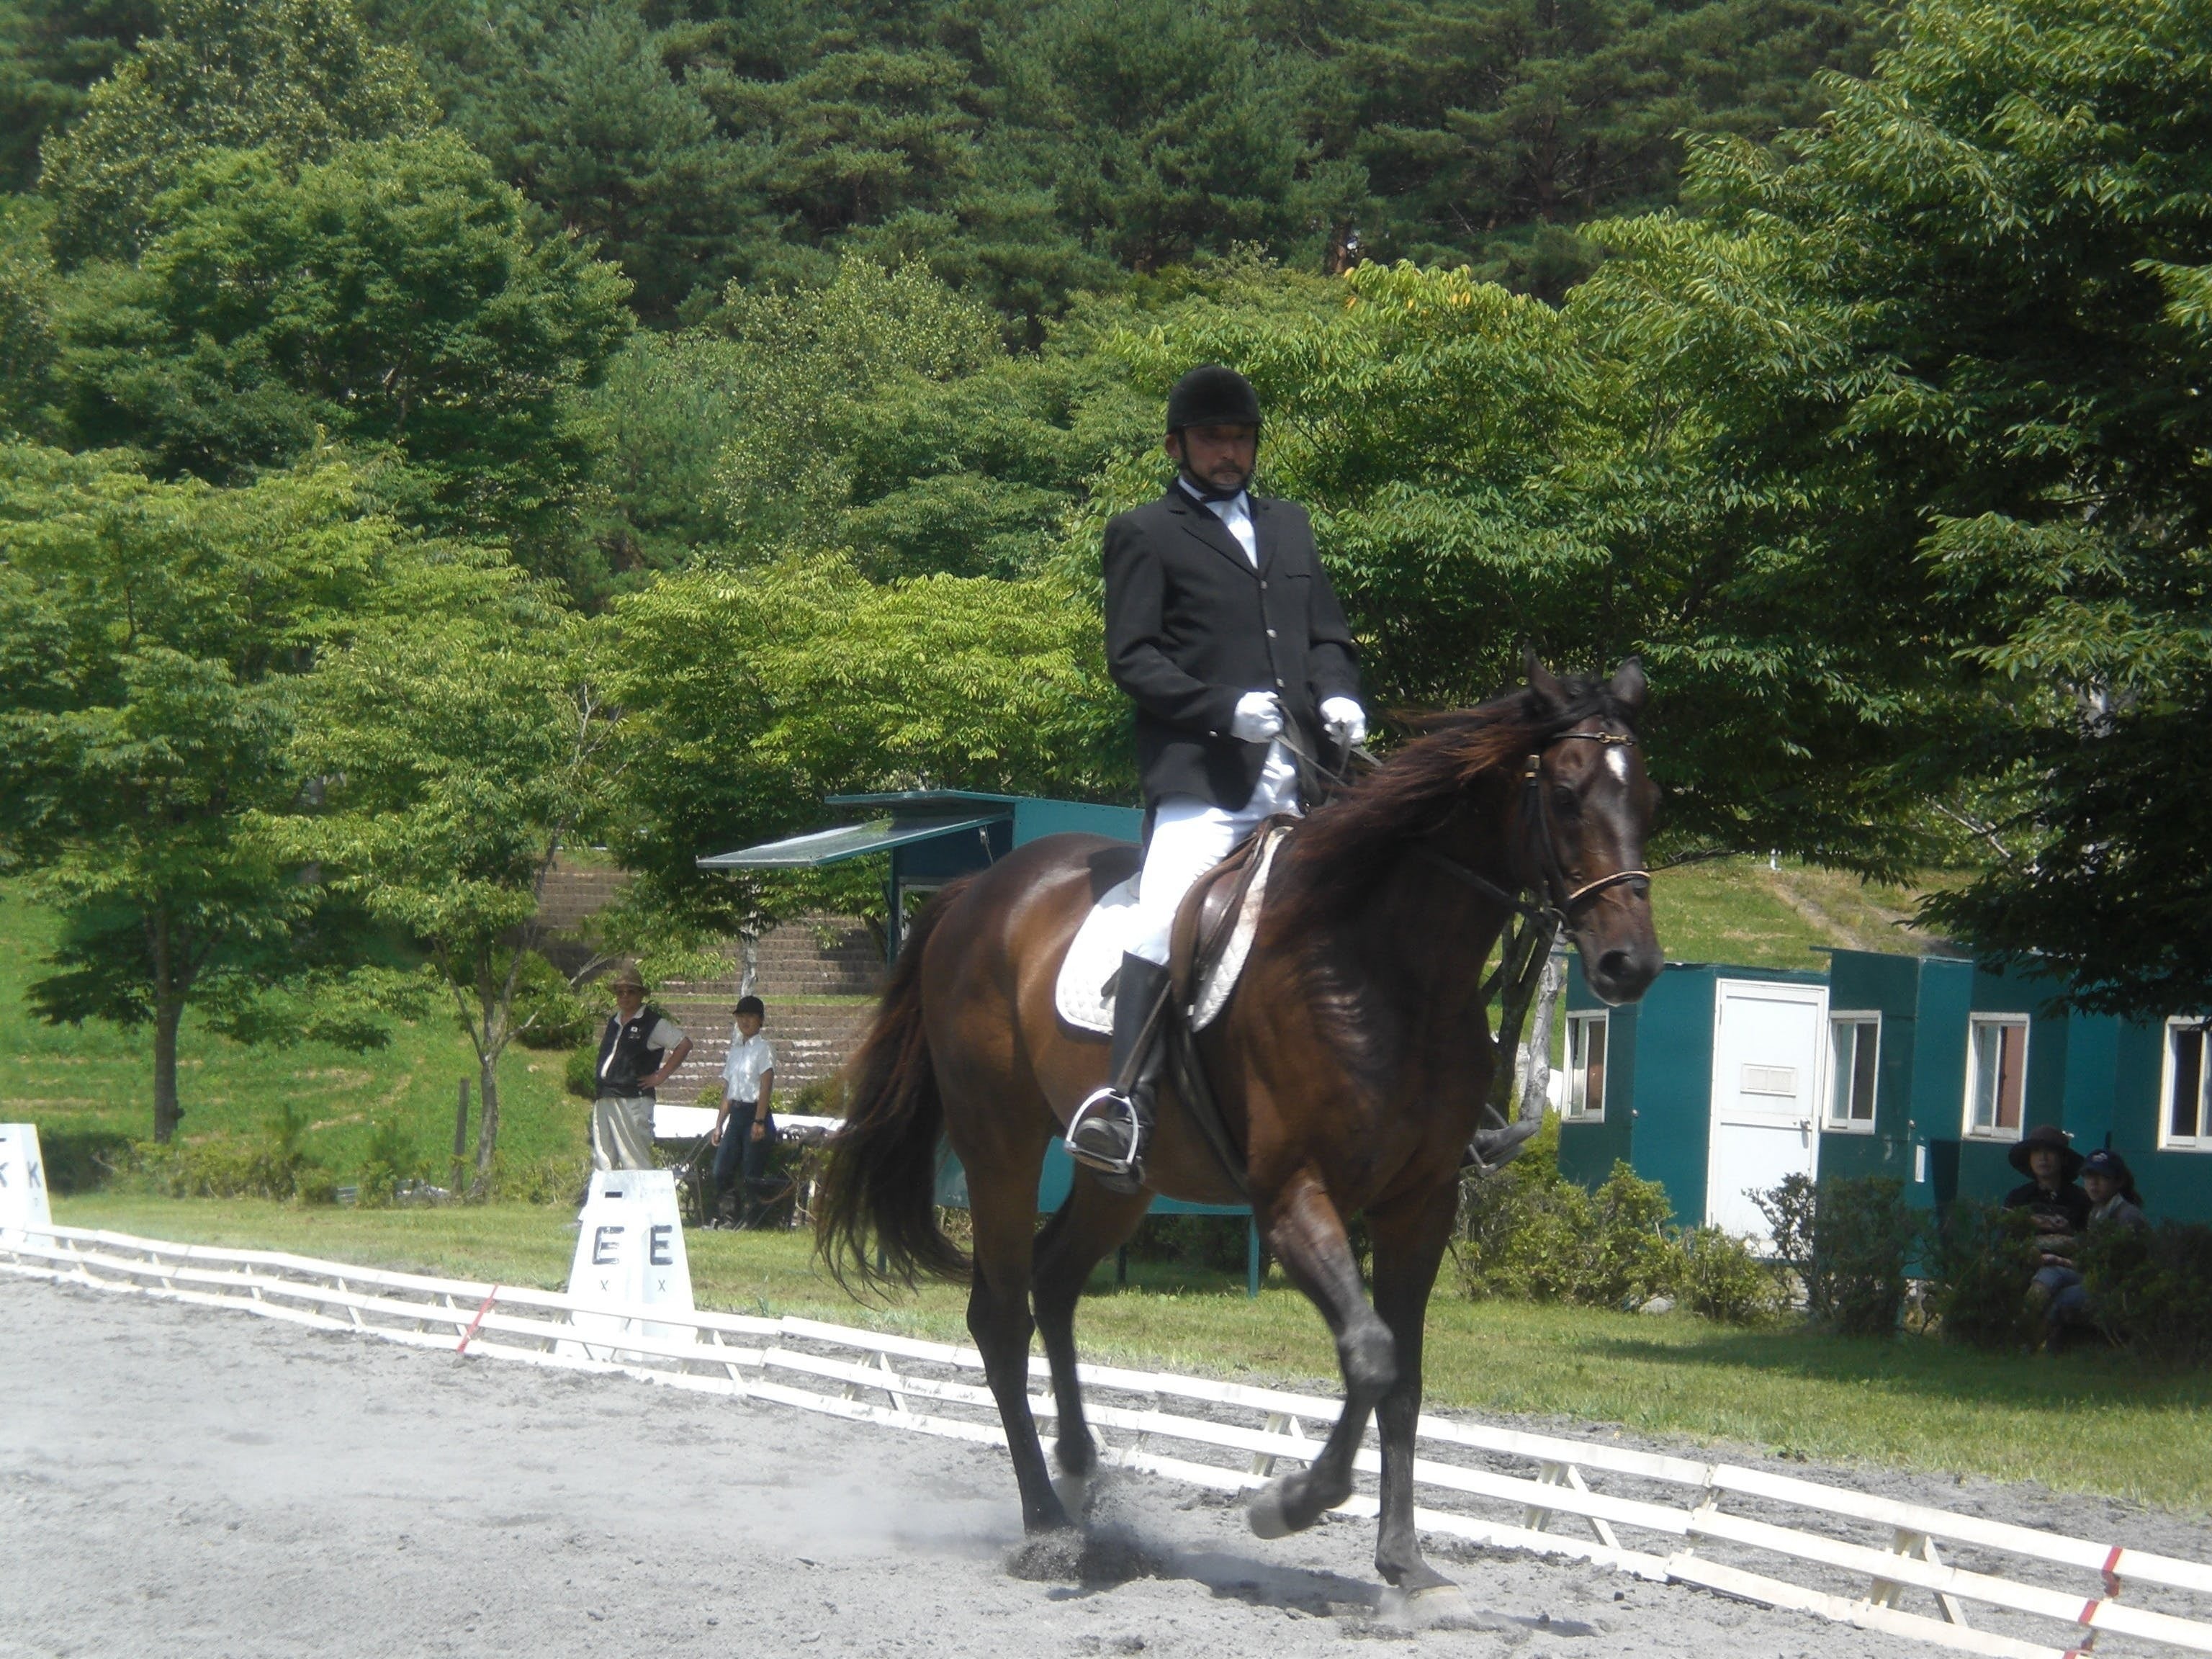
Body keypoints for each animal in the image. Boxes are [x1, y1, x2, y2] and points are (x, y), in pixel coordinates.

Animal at [815, 656, 1662, 1612]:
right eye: (1564, 794)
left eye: (1649, 799)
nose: (1629, 965)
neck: (1386, 967)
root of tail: (976, 892)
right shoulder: (1293, 1198)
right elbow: (1370, 1354)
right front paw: (1293, 1502)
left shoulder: (1423, 1202)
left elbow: (1403, 1375)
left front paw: (1405, 1562)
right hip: (1000, 1147)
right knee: (1000, 1315)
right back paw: (1048, 1527)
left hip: (1125, 1178)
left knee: (1055, 1282)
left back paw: (1083, 1473)